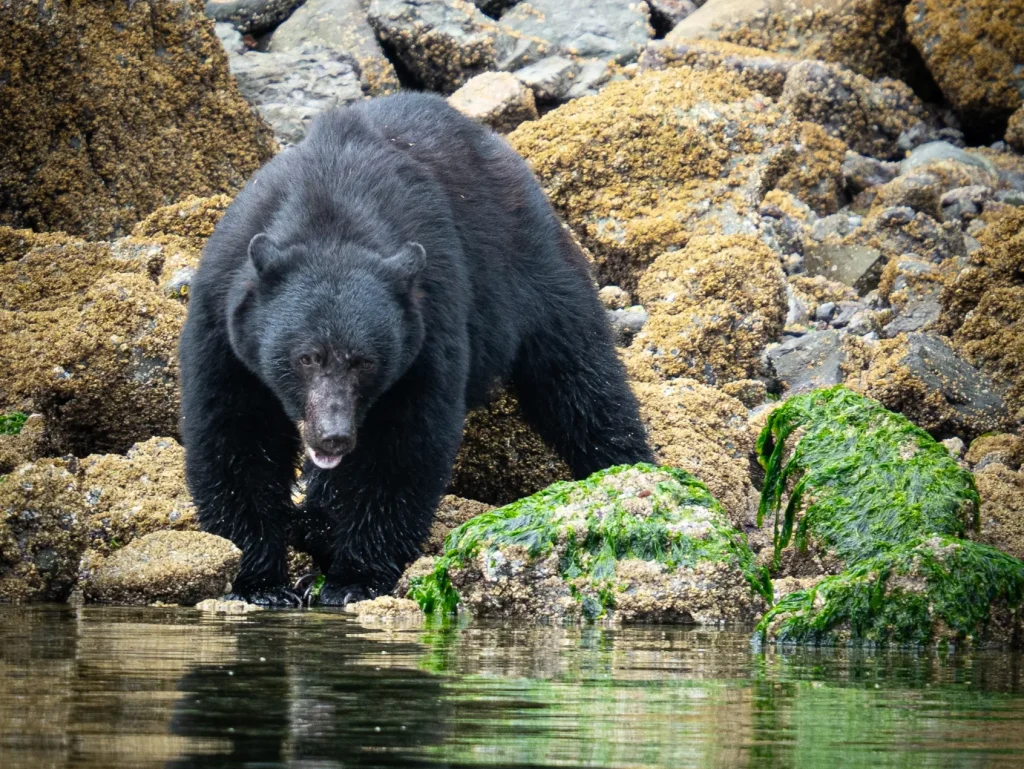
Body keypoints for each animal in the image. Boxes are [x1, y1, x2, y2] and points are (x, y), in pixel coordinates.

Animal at [179, 93, 653, 607]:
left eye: (365, 362)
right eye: (306, 357)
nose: (333, 436)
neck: (329, 214)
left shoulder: (428, 320)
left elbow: (404, 444)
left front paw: (354, 579)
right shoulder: (222, 322)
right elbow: (234, 434)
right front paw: (260, 582)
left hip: (529, 264)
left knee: (580, 377)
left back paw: (631, 471)